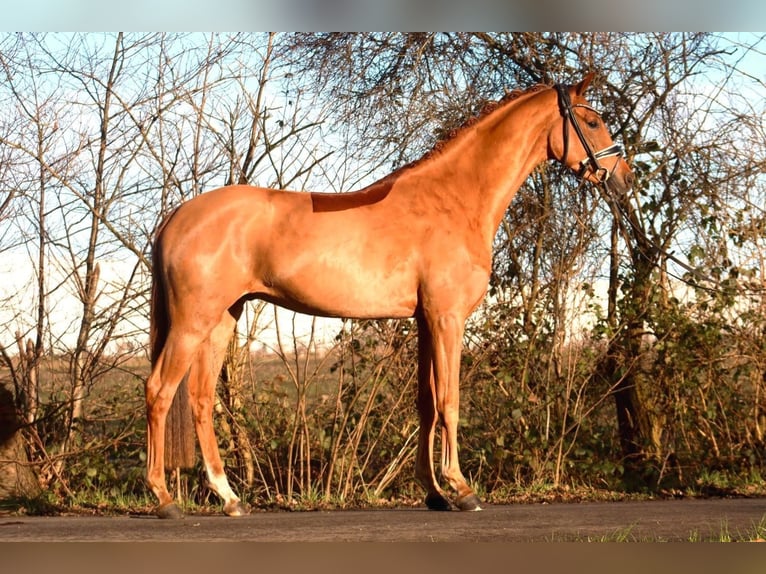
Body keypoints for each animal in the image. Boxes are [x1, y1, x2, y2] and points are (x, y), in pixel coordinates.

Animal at [146, 71, 636, 516]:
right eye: (593, 122)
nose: (624, 179)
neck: (454, 200)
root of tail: (176, 216)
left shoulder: (425, 321)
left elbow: (426, 404)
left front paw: (434, 492)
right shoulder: (447, 318)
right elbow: (449, 401)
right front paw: (462, 489)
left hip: (223, 318)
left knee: (201, 398)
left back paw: (229, 498)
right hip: (193, 321)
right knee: (159, 390)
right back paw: (165, 499)